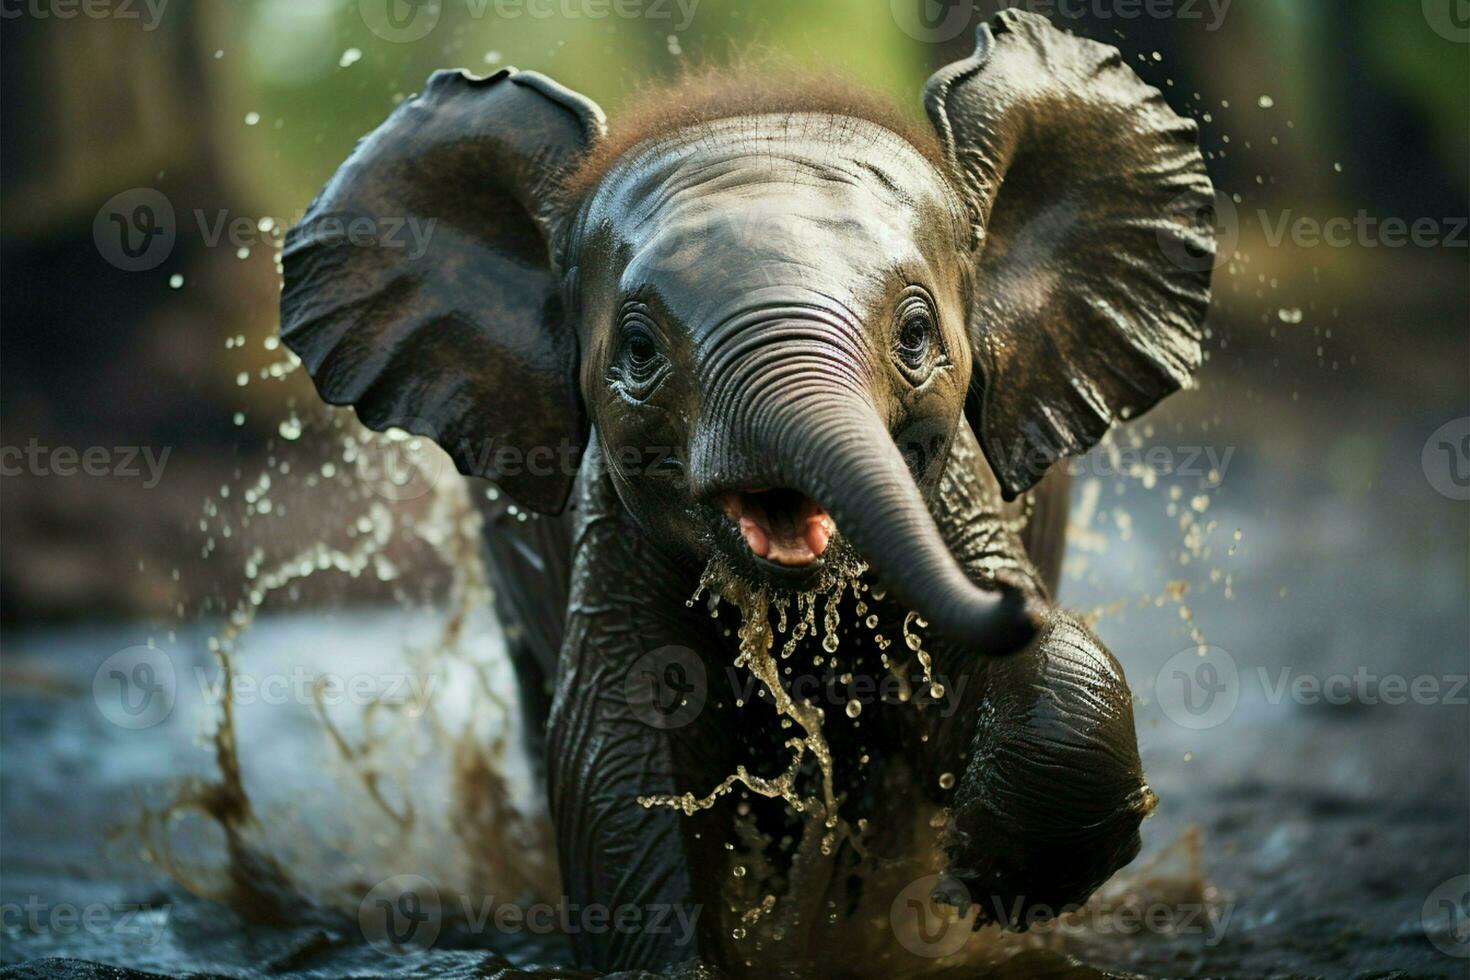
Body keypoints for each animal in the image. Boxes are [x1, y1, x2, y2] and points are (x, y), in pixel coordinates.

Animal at [280, 11, 1211, 975]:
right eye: (639, 351)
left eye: (916, 334)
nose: (1013, 600)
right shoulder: (609, 524)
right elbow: (617, 756)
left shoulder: (956, 481)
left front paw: (991, 876)